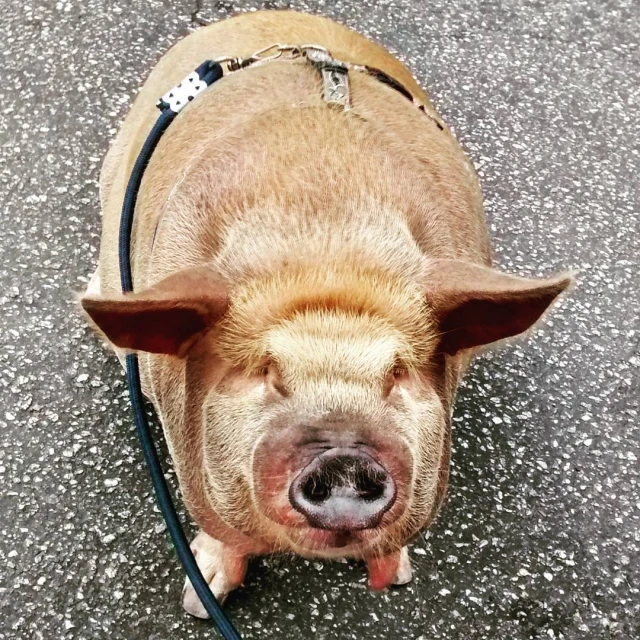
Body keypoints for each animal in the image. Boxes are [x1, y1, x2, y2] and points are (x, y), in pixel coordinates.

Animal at [80, 10, 568, 616]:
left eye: (397, 374)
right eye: (265, 373)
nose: (343, 455)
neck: (325, 258)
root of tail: (270, 16)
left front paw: (400, 575)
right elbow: (221, 530)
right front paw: (200, 600)